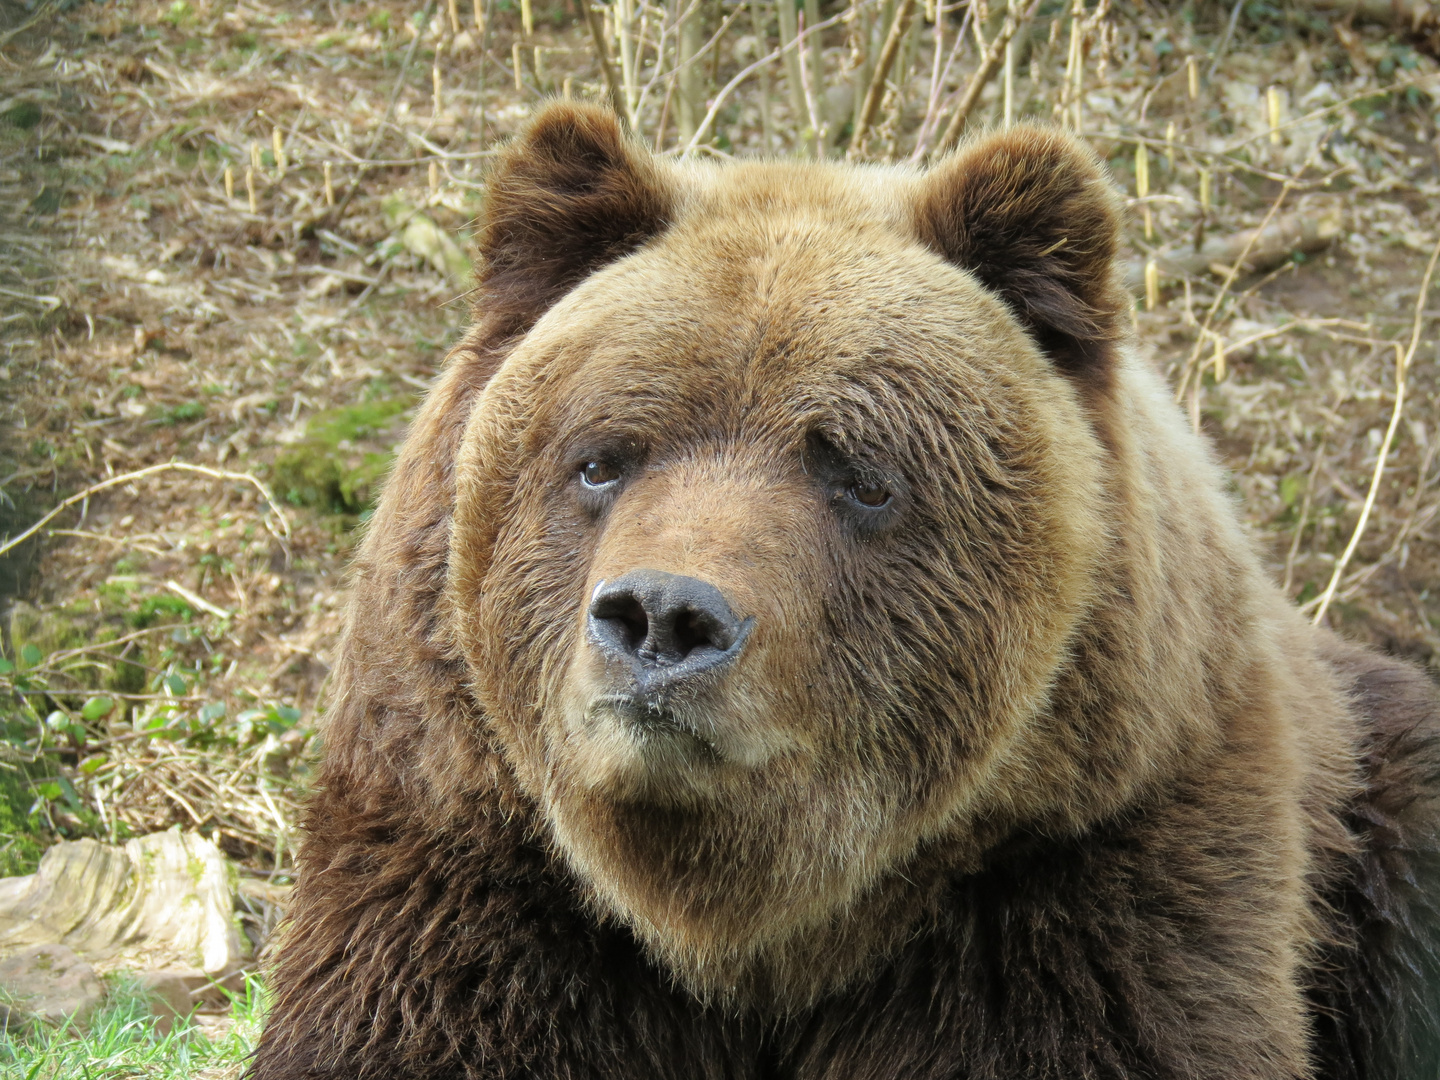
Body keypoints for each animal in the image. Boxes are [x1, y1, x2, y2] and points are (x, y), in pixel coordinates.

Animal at [250, 103, 1440, 1080]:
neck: (755, 931)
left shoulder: (1082, 868)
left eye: (860, 473)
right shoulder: (473, 856)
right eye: (601, 458)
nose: (664, 619)